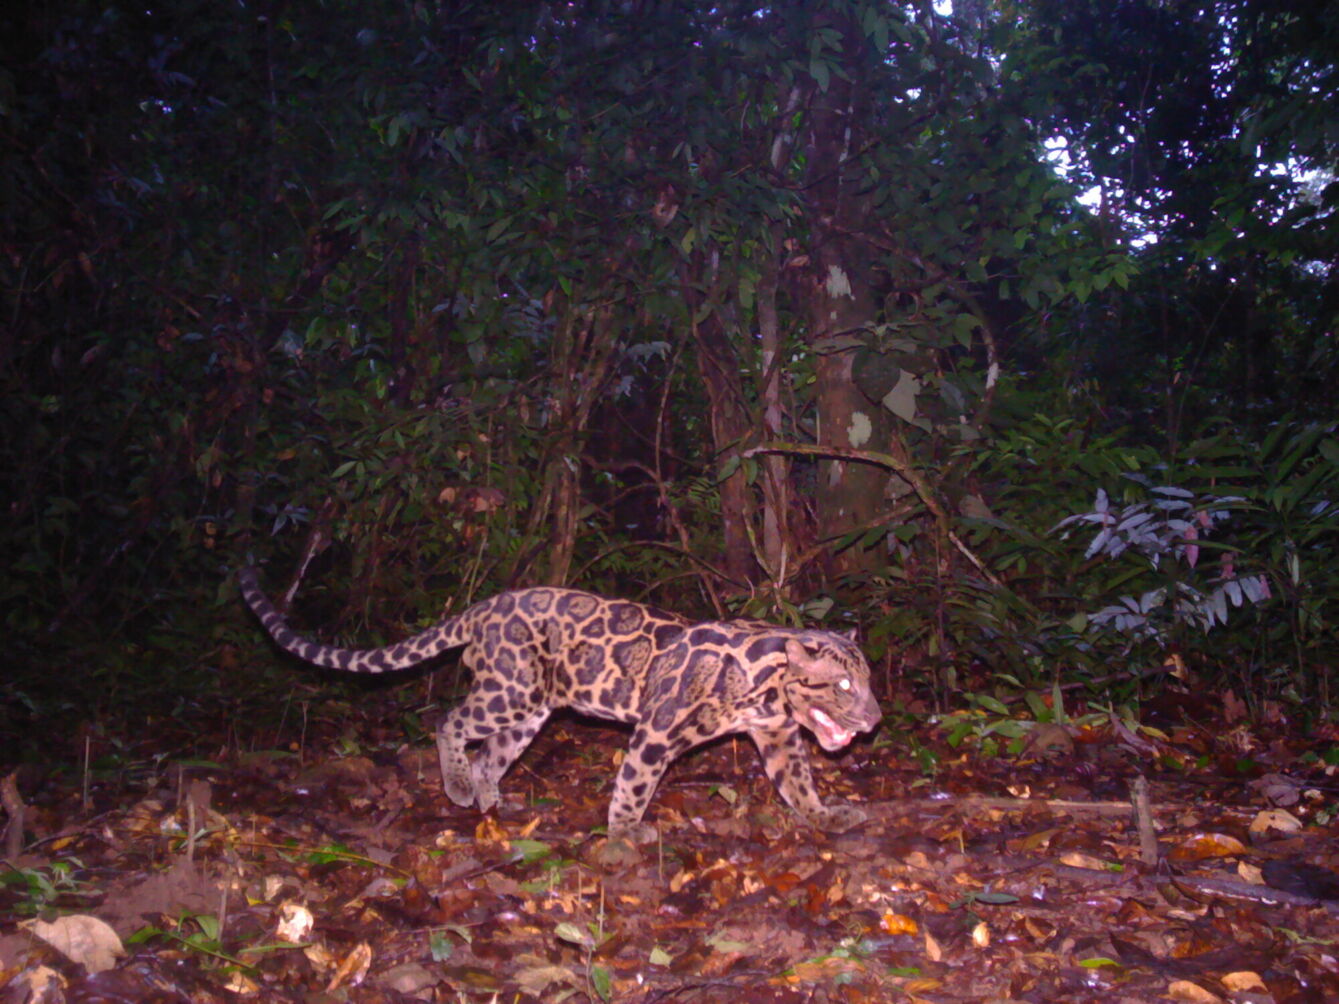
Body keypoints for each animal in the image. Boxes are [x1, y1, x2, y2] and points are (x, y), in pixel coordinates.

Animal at [238, 569, 881, 845]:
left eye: (867, 682)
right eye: (844, 687)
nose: (875, 718)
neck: (767, 683)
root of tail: (482, 606)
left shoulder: (778, 736)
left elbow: (798, 782)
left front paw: (825, 816)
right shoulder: (657, 730)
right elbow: (635, 784)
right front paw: (625, 832)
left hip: (528, 712)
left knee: (491, 753)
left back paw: (488, 797)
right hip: (510, 691)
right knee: (450, 723)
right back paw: (458, 787)